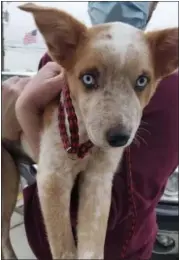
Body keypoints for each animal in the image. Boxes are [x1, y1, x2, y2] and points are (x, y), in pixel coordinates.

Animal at [1, 2, 178, 260]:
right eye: (88, 78)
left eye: (142, 81)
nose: (119, 138)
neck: (85, 141)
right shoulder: (53, 177)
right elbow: (64, 248)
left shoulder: (99, 180)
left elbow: (92, 245)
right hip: (6, 179)